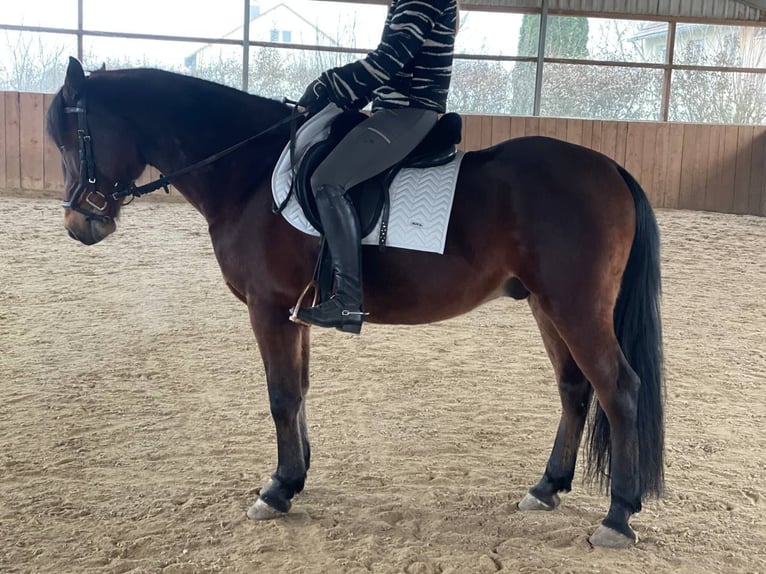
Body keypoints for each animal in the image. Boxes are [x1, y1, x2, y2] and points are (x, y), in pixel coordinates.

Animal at [46, 57, 664, 548]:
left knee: (619, 390)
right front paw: (294, 477)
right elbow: (299, 392)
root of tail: (609, 168)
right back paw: (547, 486)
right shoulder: (294, 313)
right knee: (574, 387)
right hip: (546, 306)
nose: (80, 225)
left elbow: (280, 395)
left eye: (73, 138)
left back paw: (617, 516)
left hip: (576, 308)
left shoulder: (266, 308)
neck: (247, 175)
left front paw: (277, 490)